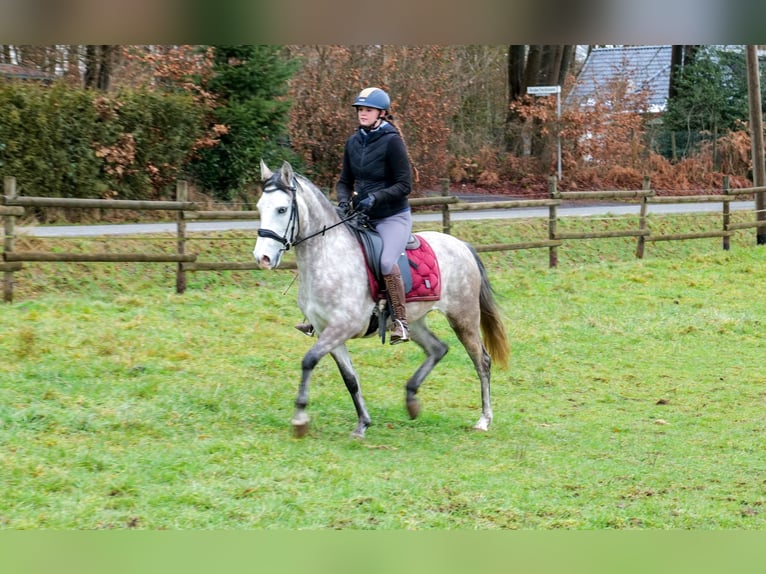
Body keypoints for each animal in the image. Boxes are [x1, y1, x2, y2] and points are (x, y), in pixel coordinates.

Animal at [255, 160, 512, 438]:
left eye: (282, 209)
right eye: (259, 207)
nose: (262, 258)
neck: (328, 256)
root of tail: (462, 245)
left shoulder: (342, 327)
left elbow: (309, 360)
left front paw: (300, 419)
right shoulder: (327, 331)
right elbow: (350, 379)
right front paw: (362, 424)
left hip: (463, 316)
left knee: (481, 361)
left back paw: (483, 420)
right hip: (414, 320)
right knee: (438, 348)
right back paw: (411, 400)